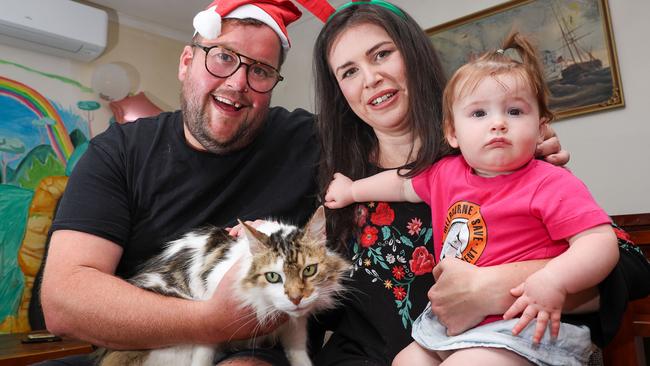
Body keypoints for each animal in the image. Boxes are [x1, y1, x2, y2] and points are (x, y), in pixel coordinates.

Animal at [97, 206, 350, 366]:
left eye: (309, 270)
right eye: (273, 277)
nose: (296, 298)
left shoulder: (295, 327)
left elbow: (299, 355)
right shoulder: (210, 324)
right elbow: (202, 357)